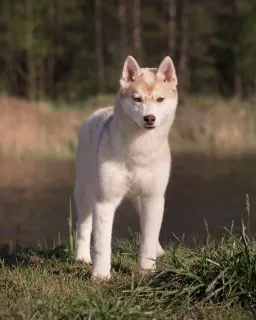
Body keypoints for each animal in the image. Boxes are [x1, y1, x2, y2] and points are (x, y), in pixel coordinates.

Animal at [74, 55, 178, 278]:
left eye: (160, 99)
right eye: (137, 99)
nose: (149, 118)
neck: (139, 151)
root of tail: (99, 111)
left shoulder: (152, 198)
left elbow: (148, 239)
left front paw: (147, 271)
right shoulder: (104, 201)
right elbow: (102, 244)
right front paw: (100, 276)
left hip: (140, 199)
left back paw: (159, 250)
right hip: (85, 192)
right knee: (83, 227)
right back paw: (82, 257)